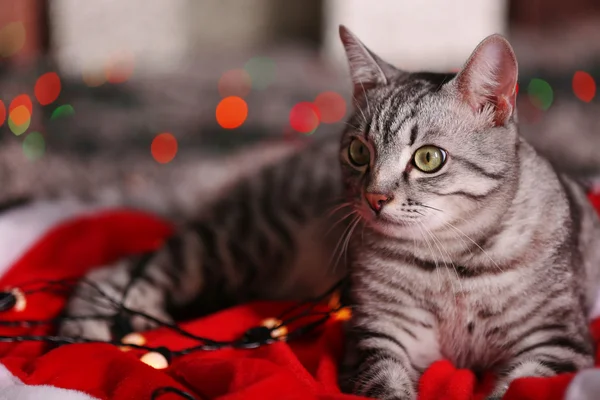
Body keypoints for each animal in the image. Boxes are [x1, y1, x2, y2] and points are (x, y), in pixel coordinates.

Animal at [58, 25, 600, 400]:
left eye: (428, 158)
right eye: (359, 153)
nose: (375, 197)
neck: (451, 263)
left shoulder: (553, 344)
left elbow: (514, 388)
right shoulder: (382, 334)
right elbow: (387, 386)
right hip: (238, 245)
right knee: (121, 270)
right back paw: (84, 340)